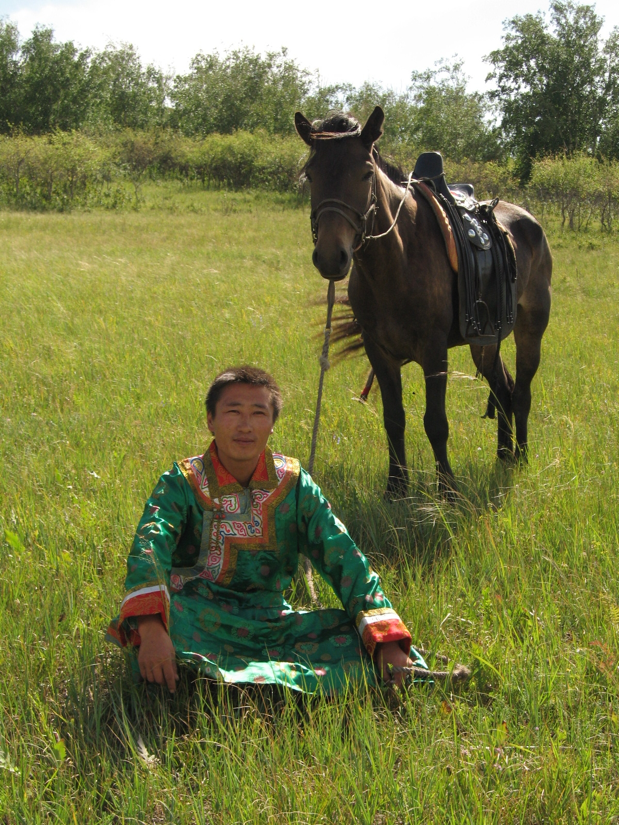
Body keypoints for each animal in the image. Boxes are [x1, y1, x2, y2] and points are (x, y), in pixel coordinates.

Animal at [296, 108, 552, 496]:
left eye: (366, 173)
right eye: (311, 174)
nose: (330, 257)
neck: (396, 260)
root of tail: (529, 220)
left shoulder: (434, 352)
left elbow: (436, 422)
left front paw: (447, 489)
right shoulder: (379, 353)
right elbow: (394, 419)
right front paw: (395, 487)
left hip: (530, 327)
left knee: (521, 390)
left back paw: (520, 458)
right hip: (485, 341)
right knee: (503, 389)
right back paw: (503, 455)